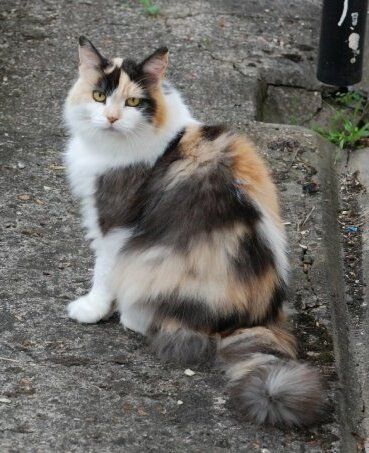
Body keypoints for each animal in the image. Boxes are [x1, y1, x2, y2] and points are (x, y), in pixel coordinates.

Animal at [63, 36, 322, 428]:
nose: (111, 118)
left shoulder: (114, 222)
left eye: (133, 102)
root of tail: (260, 317)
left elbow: (103, 272)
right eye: (98, 96)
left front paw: (92, 309)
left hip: (155, 264)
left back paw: (132, 316)